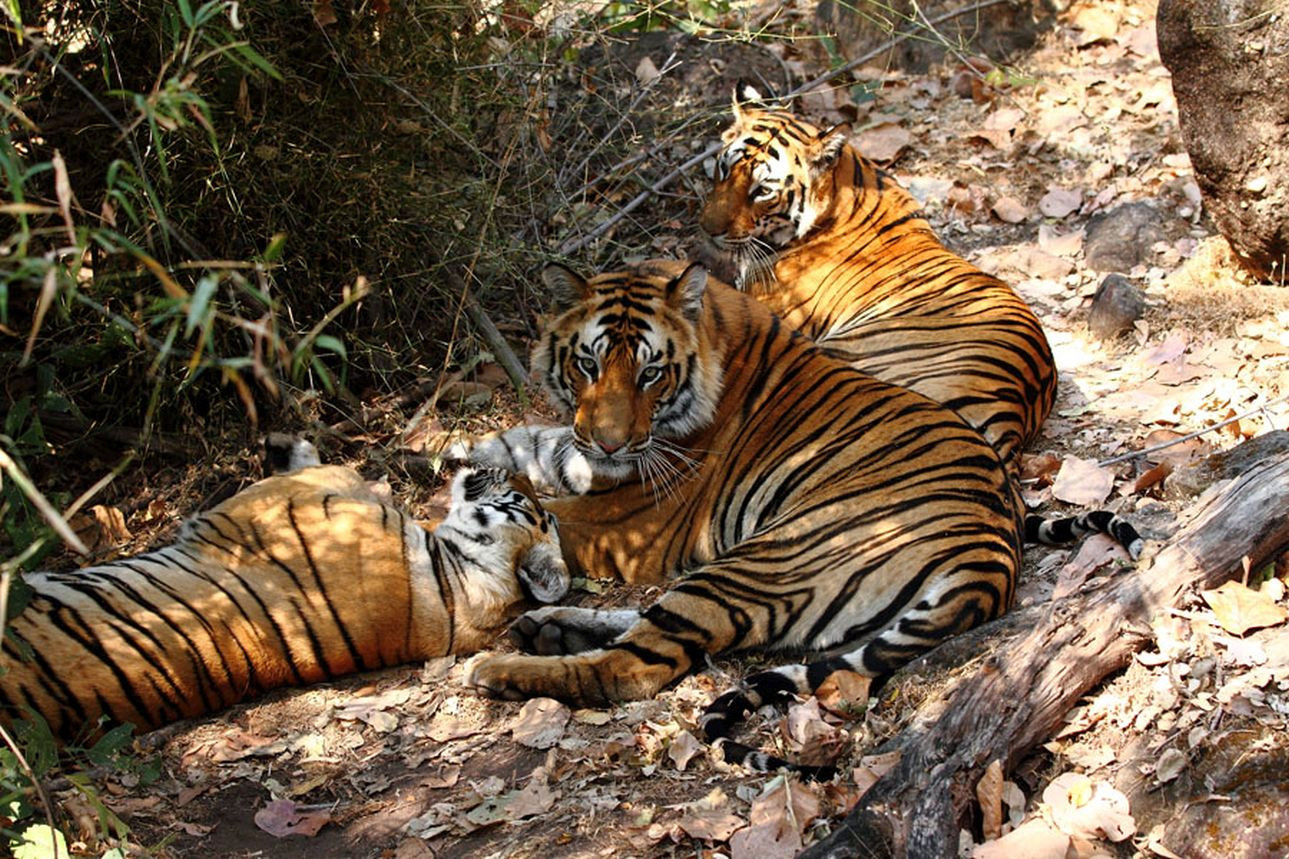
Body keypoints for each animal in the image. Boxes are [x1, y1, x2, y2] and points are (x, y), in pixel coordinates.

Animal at [0, 437, 568, 741]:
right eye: (526, 491)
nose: (502, 465)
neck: (455, 575)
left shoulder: (285, 502)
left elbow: (330, 471)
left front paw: (287, 447)